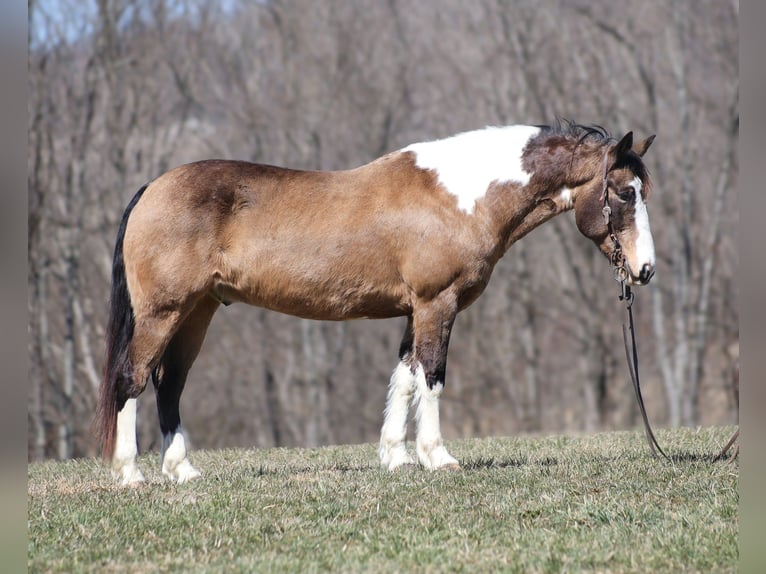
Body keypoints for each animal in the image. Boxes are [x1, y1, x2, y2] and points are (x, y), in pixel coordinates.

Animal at [95, 121, 656, 485]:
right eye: (625, 193)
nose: (645, 269)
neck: (462, 197)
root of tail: (151, 189)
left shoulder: (415, 310)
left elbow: (404, 378)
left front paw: (396, 457)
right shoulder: (436, 304)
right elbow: (431, 376)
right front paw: (436, 457)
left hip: (198, 313)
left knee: (170, 386)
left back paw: (183, 471)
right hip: (164, 313)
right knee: (132, 379)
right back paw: (131, 474)